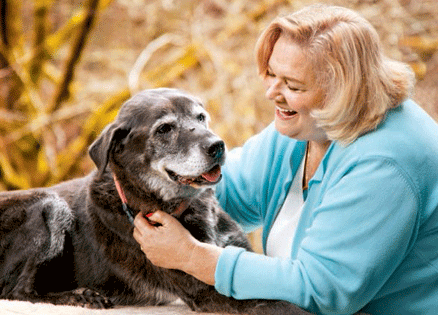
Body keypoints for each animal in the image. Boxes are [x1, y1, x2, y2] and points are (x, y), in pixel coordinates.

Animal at [0, 87, 312, 314]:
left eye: (201, 117)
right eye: (164, 129)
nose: (218, 146)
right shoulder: (209, 288)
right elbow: (284, 305)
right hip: (51, 205)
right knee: (19, 292)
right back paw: (82, 296)